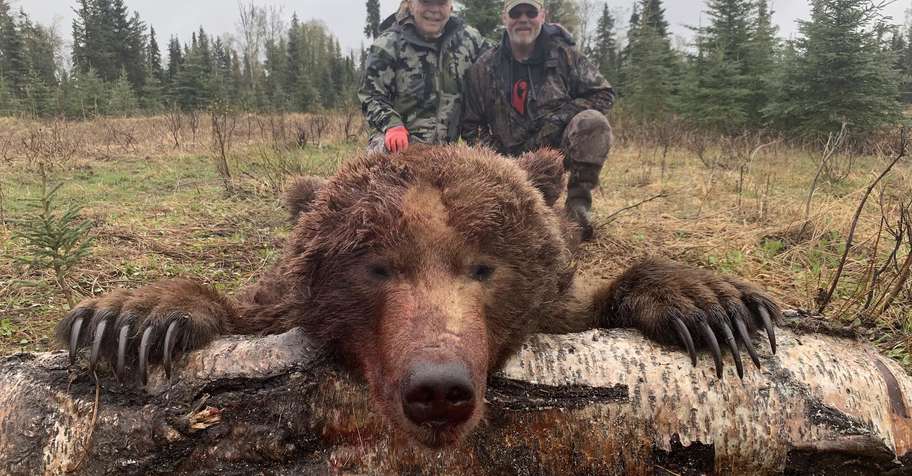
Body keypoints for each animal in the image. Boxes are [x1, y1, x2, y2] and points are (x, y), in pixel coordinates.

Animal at [57, 144, 780, 448]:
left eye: (484, 266)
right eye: (376, 267)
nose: (437, 388)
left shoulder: (561, 306)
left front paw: (712, 303)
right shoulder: (275, 303)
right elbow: (237, 305)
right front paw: (130, 318)